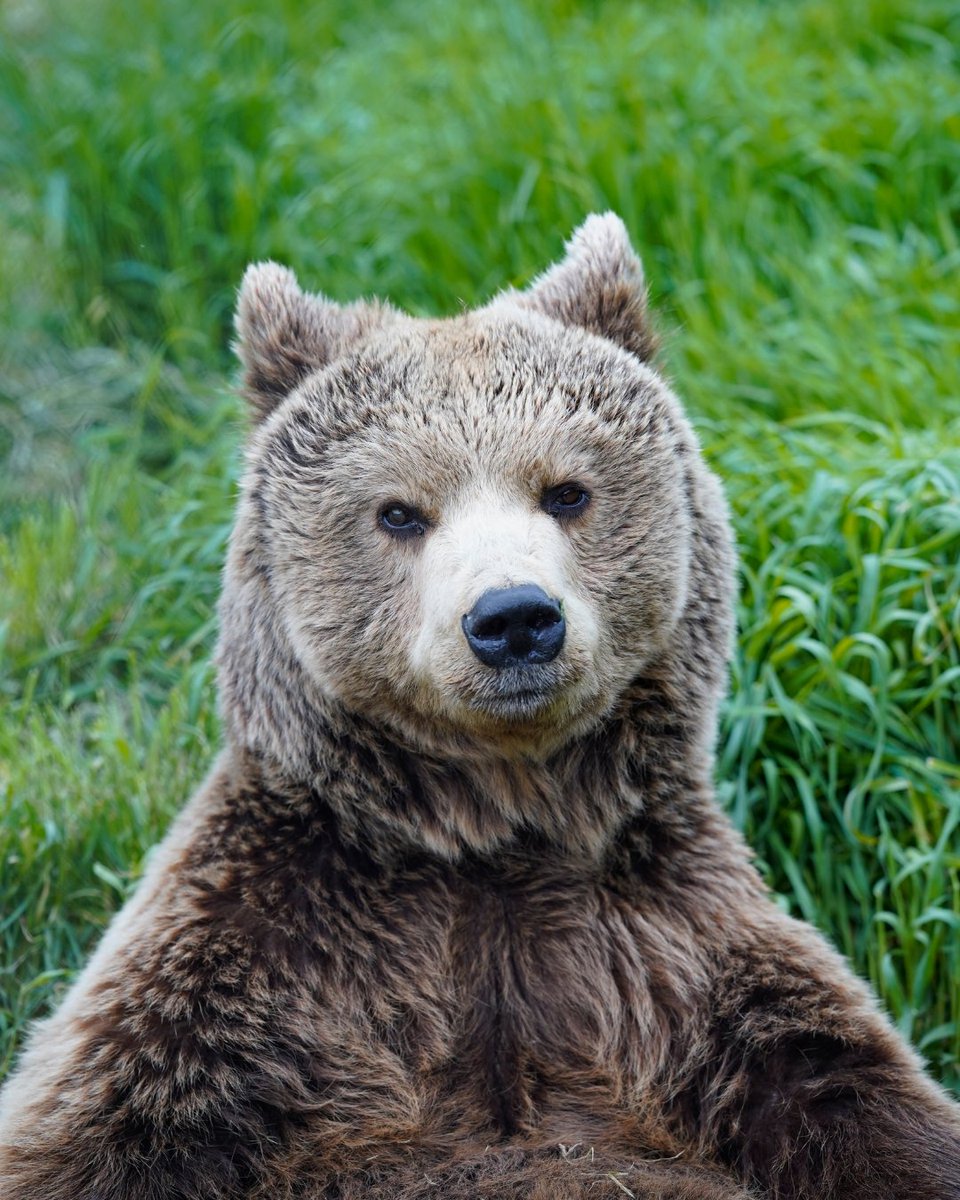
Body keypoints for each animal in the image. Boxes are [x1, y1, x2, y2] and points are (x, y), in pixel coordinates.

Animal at [0, 213, 958, 1200]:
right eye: (398, 512)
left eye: (567, 491)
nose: (514, 619)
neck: (493, 823)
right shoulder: (251, 965)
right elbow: (98, 1123)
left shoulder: (681, 962)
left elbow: (861, 1101)